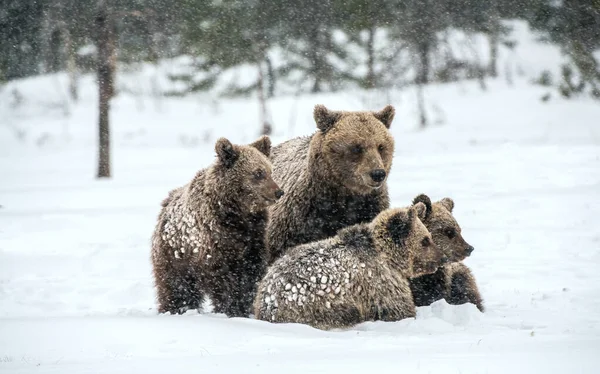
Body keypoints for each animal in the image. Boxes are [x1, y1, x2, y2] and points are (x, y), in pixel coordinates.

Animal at [149, 136, 282, 318]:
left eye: (270, 171)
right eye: (258, 173)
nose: (279, 192)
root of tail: (165, 206)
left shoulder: (254, 240)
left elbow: (251, 275)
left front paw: (245, 307)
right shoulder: (214, 242)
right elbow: (223, 280)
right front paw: (230, 309)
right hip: (174, 256)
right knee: (176, 287)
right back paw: (175, 308)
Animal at [253, 202, 446, 330]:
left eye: (428, 237)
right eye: (425, 240)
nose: (442, 258)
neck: (389, 258)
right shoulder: (381, 284)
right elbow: (399, 309)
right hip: (315, 304)